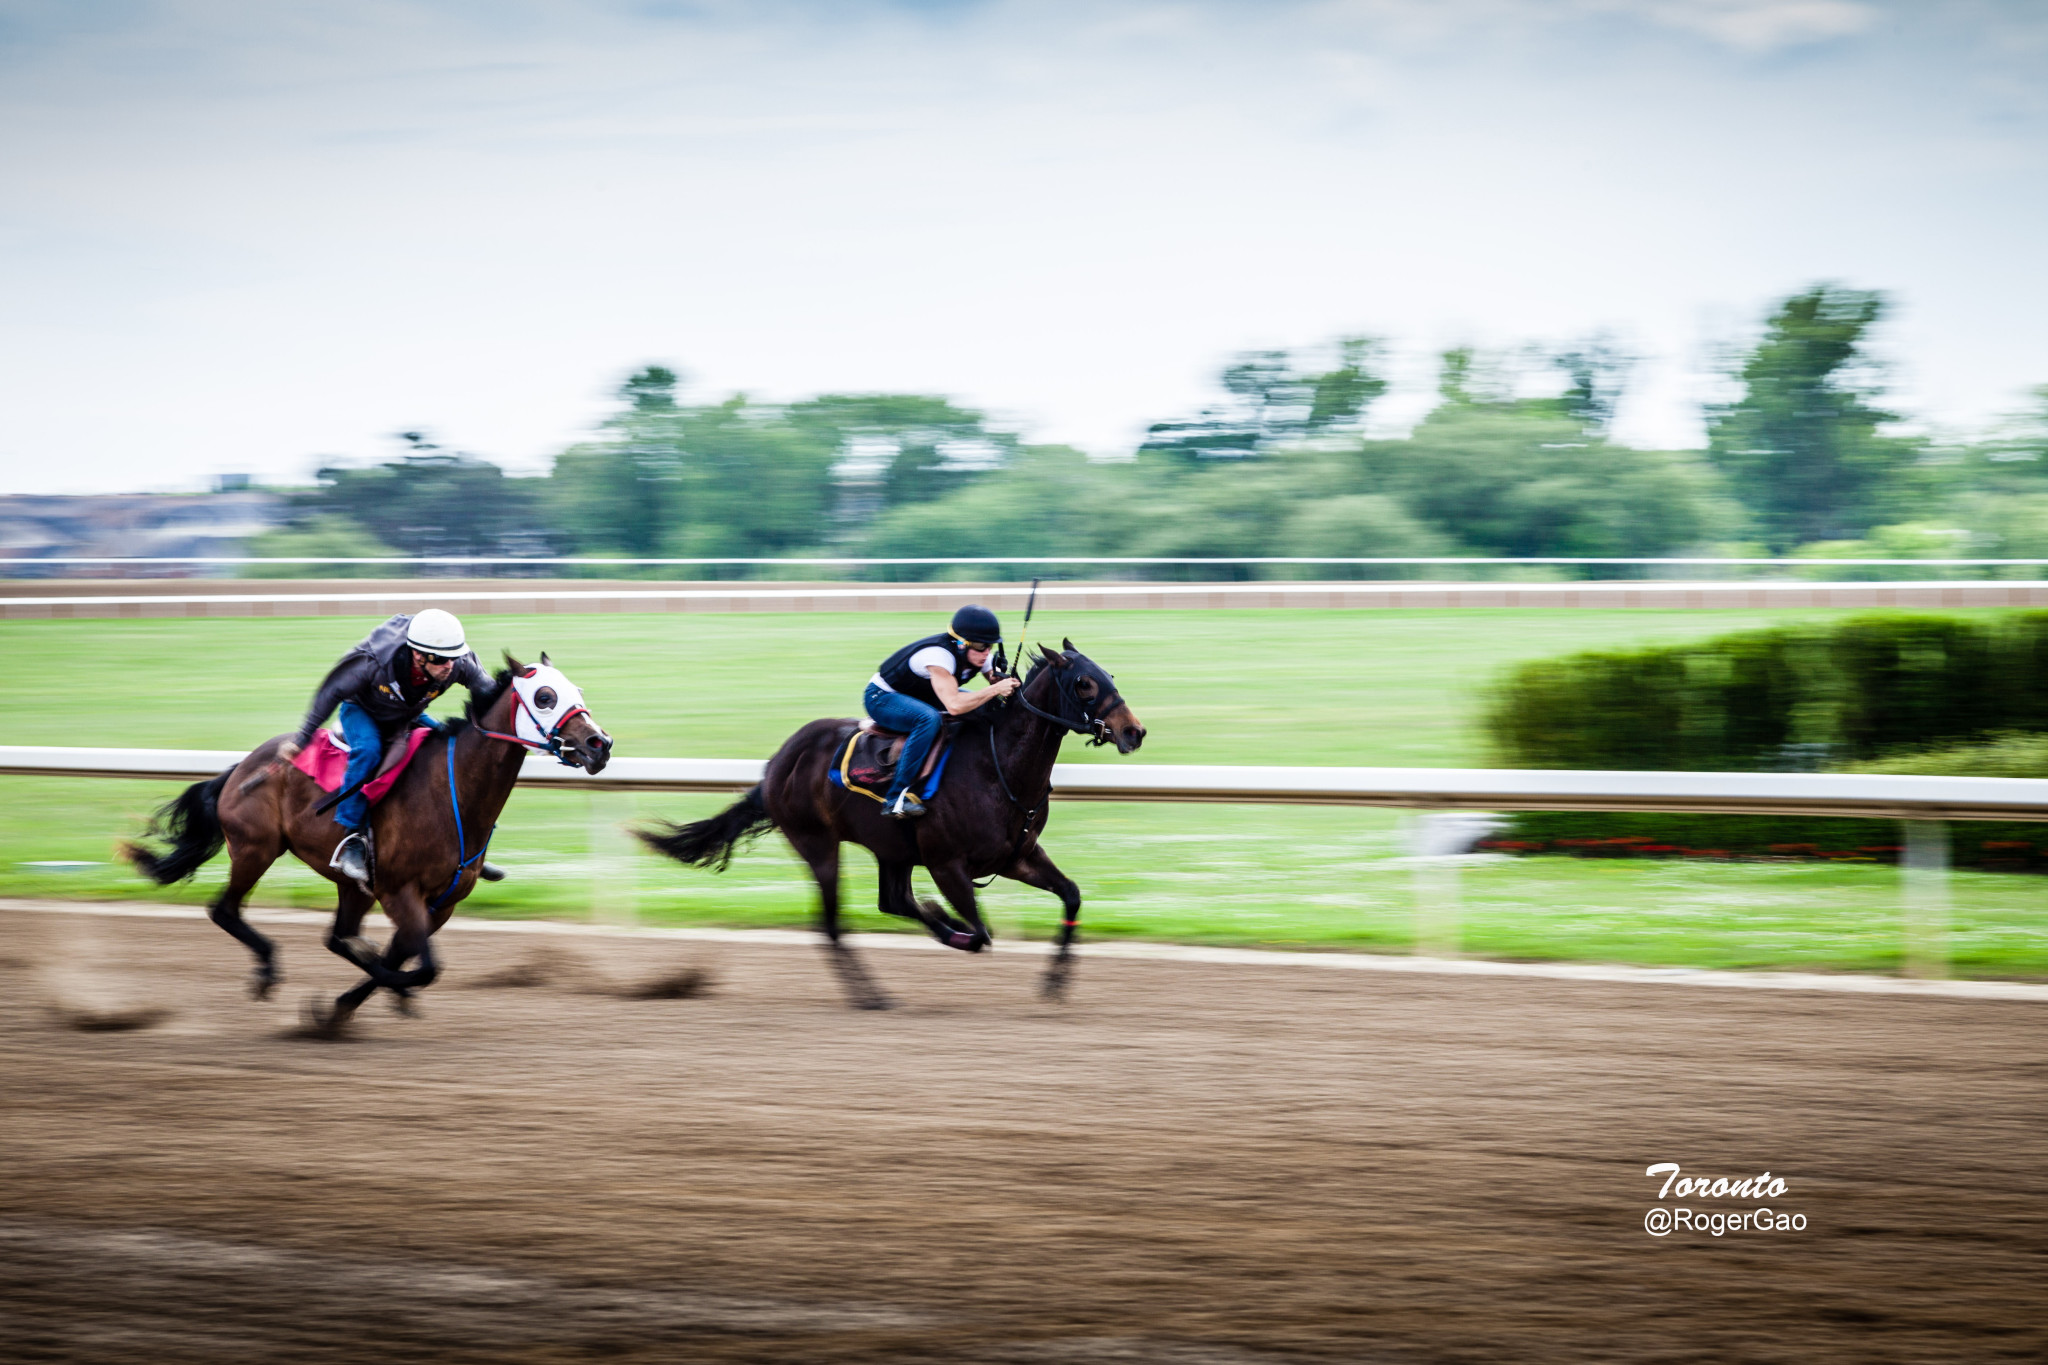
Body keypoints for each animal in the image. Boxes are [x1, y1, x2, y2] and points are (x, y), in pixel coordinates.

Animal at [123, 654, 606, 1031]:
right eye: (544, 697)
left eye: (577, 690)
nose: (599, 743)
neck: (452, 794)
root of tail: (241, 768)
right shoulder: (399, 891)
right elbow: (421, 968)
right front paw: (366, 995)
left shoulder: (441, 903)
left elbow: (401, 958)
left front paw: (341, 1008)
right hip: (255, 849)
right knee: (225, 910)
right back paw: (267, 968)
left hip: (348, 883)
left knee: (337, 936)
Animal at [638, 642, 1146, 1015]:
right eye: (1084, 683)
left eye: (1109, 676)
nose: (1134, 732)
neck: (998, 767)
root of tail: (777, 764)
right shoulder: (946, 863)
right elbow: (982, 934)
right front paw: (951, 924)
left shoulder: (1016, 856)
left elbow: (1071, 895)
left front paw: (1055, 981)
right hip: (818, 844)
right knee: (833, 926)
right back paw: (873, 994)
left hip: (891, 849)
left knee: (893, 900)